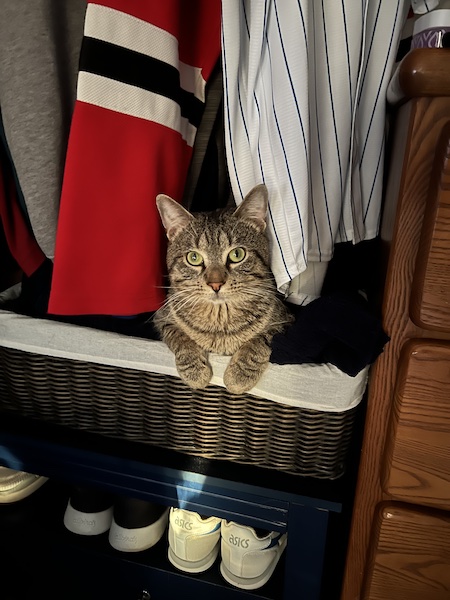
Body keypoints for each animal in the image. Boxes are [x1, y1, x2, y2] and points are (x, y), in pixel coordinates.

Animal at [155, 185, 294, 396]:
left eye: (237, 254)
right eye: (193, 257)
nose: (215, 284)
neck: (220, 319)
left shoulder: (286, 322)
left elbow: (260, 340)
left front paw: (239, 374)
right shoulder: (162, 318)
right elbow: (179, 337)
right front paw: (194, 371)